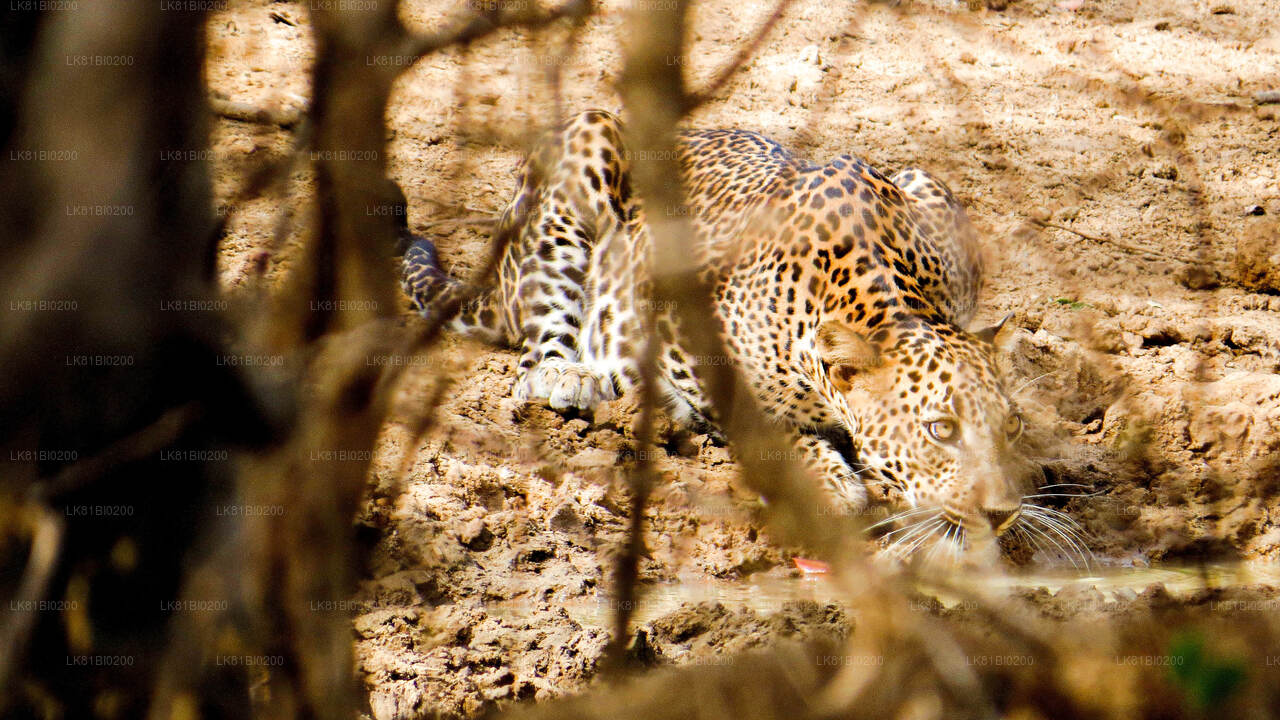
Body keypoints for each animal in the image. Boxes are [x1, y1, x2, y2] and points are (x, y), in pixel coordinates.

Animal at [407, 109, 1070, 563]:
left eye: (1011, 425)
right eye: (940, 430)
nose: (1002, 513)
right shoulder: (678, 326)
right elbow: (763, 422)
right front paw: (832, 481)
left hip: (923, 173)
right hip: (581, 149)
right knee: (538, 351)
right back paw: (575, 376)